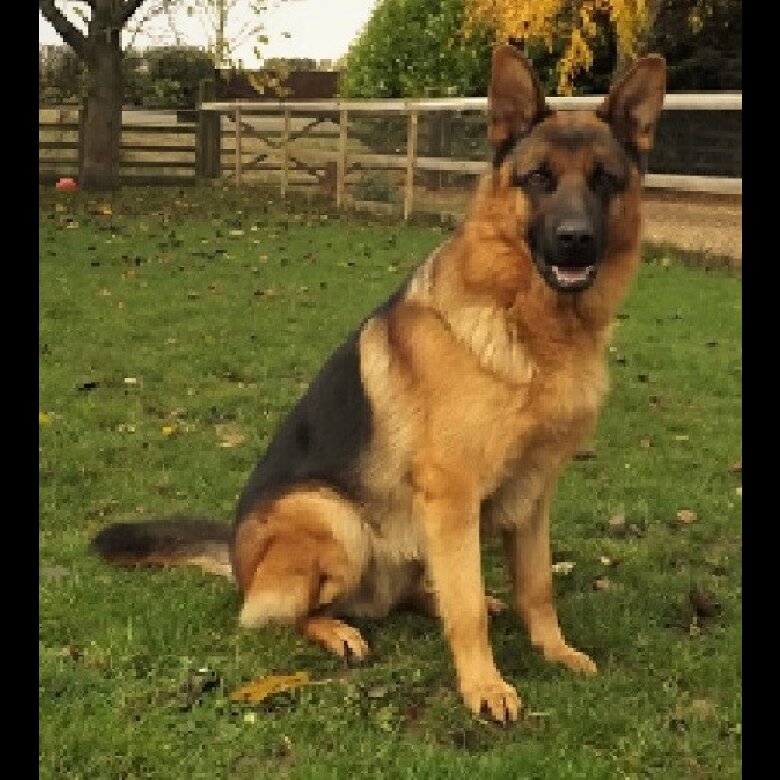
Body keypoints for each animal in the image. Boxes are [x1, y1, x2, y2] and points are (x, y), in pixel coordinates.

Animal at [92, 46, 666, 723]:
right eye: (539, 179)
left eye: (605, 180)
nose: (575, 240)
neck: (530, 327)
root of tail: (237, 560)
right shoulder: (453, 493)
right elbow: (466, 609)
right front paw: (484, 685)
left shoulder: (532, 495)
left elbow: (536, 585)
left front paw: (554, 650)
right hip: (334, 519)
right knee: (284, 612)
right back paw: (337, 630)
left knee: (422, 589)